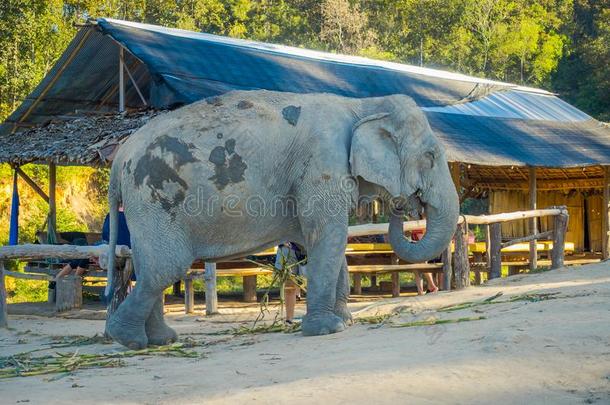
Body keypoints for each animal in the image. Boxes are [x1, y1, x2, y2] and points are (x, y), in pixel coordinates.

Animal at [104, 90, 456, 348]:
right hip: (155, 198)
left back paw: (160, 340)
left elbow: (323, 242)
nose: (406, 205)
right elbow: (327, 236)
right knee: (166, 268)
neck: (361, 104)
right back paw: (131, 340)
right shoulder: (322, 165)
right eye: (430, 157)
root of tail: (119, 157)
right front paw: (326, 329)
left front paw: (345, 322)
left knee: (150, 268)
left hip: (147, 207)